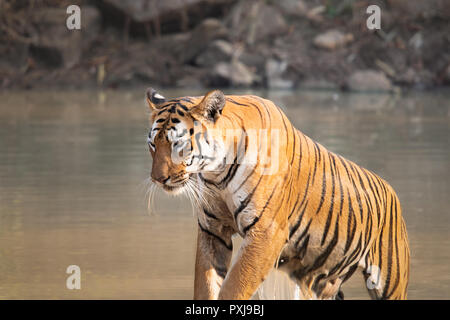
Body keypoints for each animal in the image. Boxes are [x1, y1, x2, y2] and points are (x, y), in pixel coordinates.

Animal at [146, 87, 410, 300]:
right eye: (152, 144)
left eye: (178, 144)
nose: (158, 179)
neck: (217, 174)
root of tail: (391, 190)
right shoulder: (213, 229)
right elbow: (207, 284)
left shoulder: (266, 232)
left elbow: (234, 286)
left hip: (390, 280)